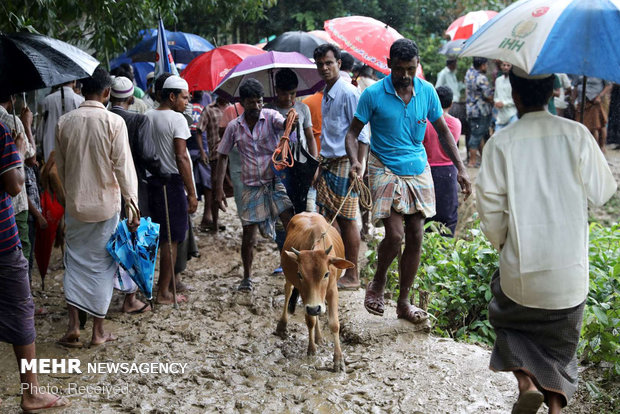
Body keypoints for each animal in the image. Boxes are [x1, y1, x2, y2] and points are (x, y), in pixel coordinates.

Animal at [276, 213, 354, 372]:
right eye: (300, 274)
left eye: (326, 274)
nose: (313, 308)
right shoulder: (304, 292)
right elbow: (310, 321)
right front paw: (311, 349)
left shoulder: (332, 291)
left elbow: (334, 324)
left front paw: (338, 360)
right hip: (289, 278)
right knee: (288, 291)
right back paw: (282, 325)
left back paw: (318, 336)